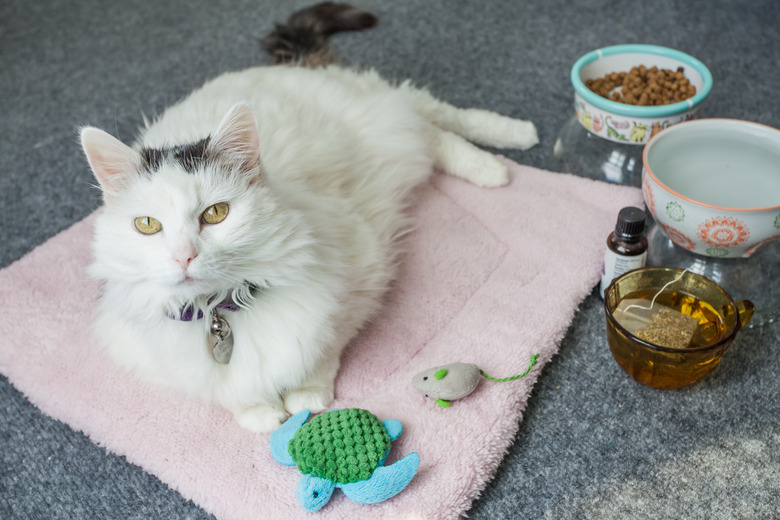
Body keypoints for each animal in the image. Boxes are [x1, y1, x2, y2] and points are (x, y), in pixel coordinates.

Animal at [82, 2, 540, 432]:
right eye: (147, 225)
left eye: (216, 213)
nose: (184, 257)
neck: (222, 309)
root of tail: (287, 67)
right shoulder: (144, 349)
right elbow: (226, 391)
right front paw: (259, 413)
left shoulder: (361, 271)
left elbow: (323, 345)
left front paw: (306, 395)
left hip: (386, 119)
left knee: (434, 116)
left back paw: (504, 151)